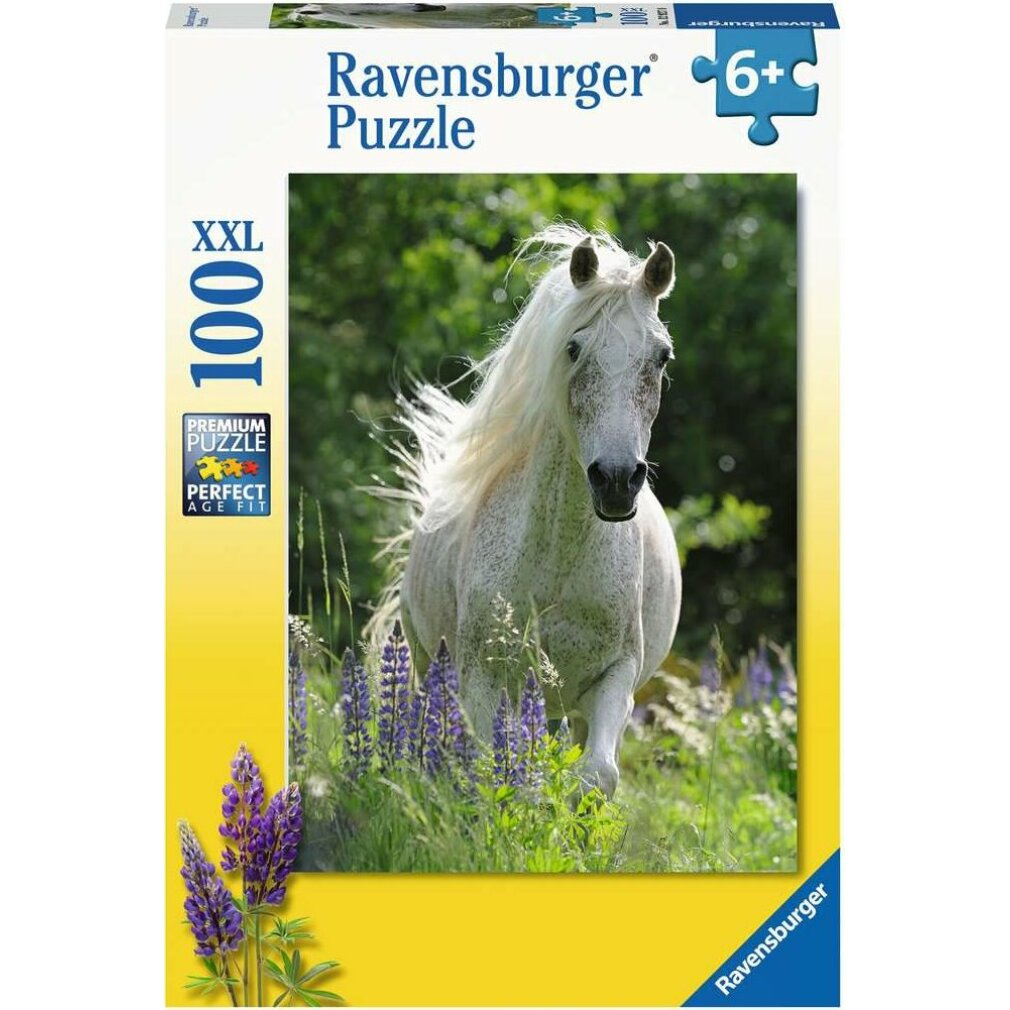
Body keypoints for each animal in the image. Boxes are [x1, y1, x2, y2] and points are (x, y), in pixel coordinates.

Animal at [373, 225, 681, 797]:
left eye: (662, 357)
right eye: (574, 347)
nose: (615, 481)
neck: (557, 559)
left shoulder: (615, 677)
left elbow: (596, 775)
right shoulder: (483, 678)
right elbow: (494, 771)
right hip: (431, 665)